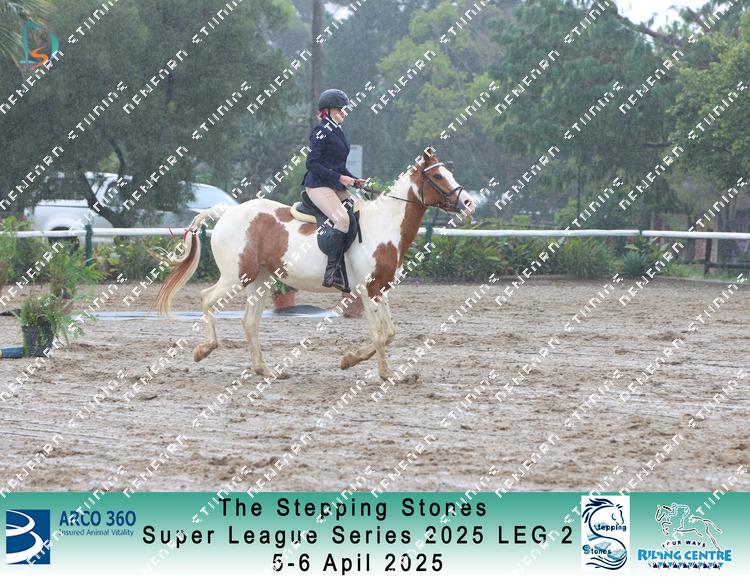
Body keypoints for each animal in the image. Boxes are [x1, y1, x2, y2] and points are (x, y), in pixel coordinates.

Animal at [155, 146, 476, 381]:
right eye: (438, 177)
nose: (469, 203)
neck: (384, 225)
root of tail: (227, 211)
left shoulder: (380, 288)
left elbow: (389, 333)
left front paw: (350, 360)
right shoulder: (368, 290)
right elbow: (380, 334)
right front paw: (385, 374)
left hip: (261, 280)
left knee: (249, 322)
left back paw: (265, 370)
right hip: (237, 276)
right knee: (207, 298)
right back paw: (204, 350)